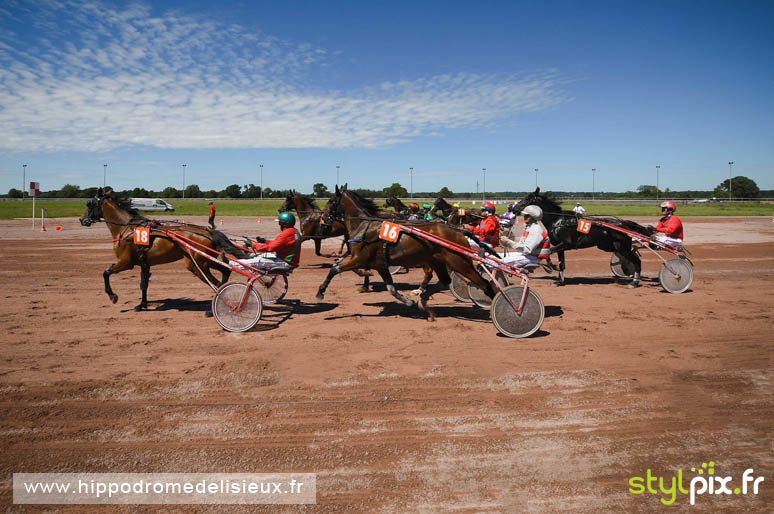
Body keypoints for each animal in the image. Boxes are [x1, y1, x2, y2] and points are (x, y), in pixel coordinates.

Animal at [81, 188, 246, 308]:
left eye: (89, 204)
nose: (82, 220)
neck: (127, 228)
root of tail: (208, 231)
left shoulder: (126, 262)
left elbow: (106, 272)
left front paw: (112, 296)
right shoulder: (144, 263)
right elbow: (143, 284)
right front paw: (142, 304)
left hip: (198, 263)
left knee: (217, 283)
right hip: (201, 260)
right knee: (226, 270)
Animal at [316, 184, 494, 316]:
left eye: (331, 201)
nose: (323, 218)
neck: (364, 227)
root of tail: (458, 231)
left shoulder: (359, 259)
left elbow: (334, 269)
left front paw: (320, 292)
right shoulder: (380, 264)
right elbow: (391, 288)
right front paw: (410, 302)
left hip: (459, 261)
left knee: (484, 283)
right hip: (438, 261)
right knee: (445, 280)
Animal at [516, 187, 656, 286]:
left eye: (528, 199)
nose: (514, 208)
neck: (558, 221)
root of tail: (624, 223)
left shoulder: (566, 244)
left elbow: (548, 252)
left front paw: (551, 267)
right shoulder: (561, 247)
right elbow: (561, 263)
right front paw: (560, 281)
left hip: (622, 246)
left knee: (636, 261)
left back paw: (635, 282)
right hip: (609, 246)